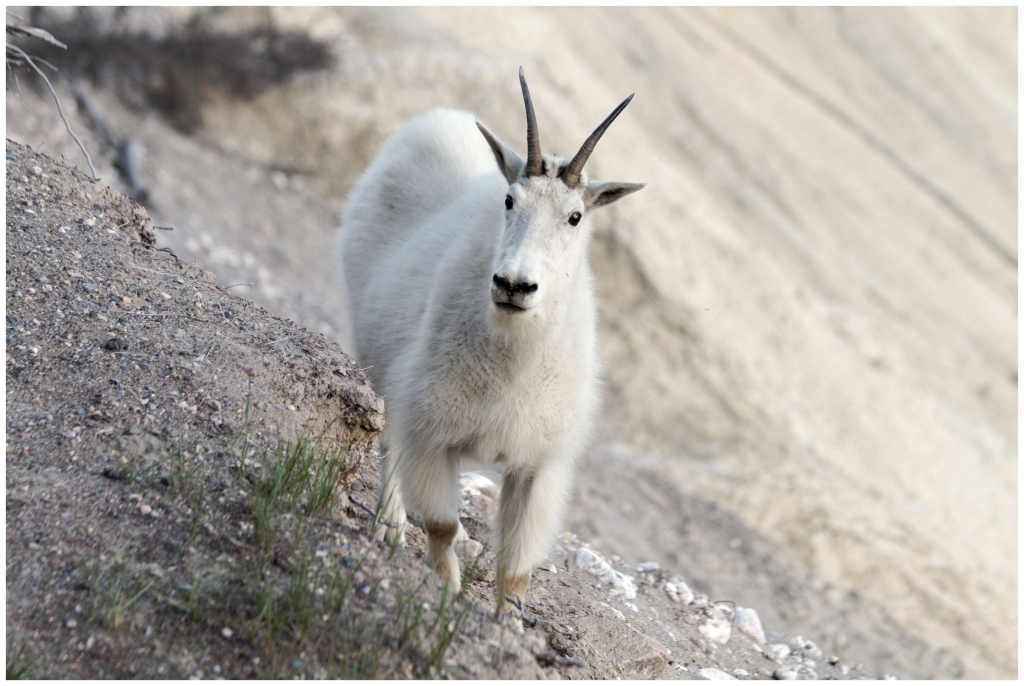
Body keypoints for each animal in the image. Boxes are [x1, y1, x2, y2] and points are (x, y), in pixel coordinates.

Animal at [337, 68, 644, 616]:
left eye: (575, 217)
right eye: (509, 201)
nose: (513, 285)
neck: (513, 357)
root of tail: (434, 121)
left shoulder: (539, 465)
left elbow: (516, 568)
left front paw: (508, 625)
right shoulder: (432, 432)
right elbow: (440, 524)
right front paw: (446, 596)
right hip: (381, 364)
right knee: (388, 441)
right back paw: (389, 526)